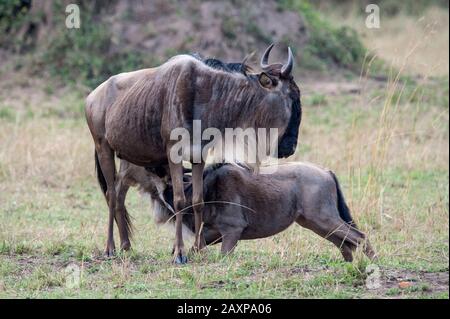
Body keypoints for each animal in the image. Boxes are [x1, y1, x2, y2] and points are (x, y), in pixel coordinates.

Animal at [117, 162, 376, 262]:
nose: (122, 175)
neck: (205, 188)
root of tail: (326, 171)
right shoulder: (213, 234)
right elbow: (194, 247)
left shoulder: (232, 232)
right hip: (315, 223)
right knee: (345, 243)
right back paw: (349, 265)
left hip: (323, 219)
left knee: (359, 237)